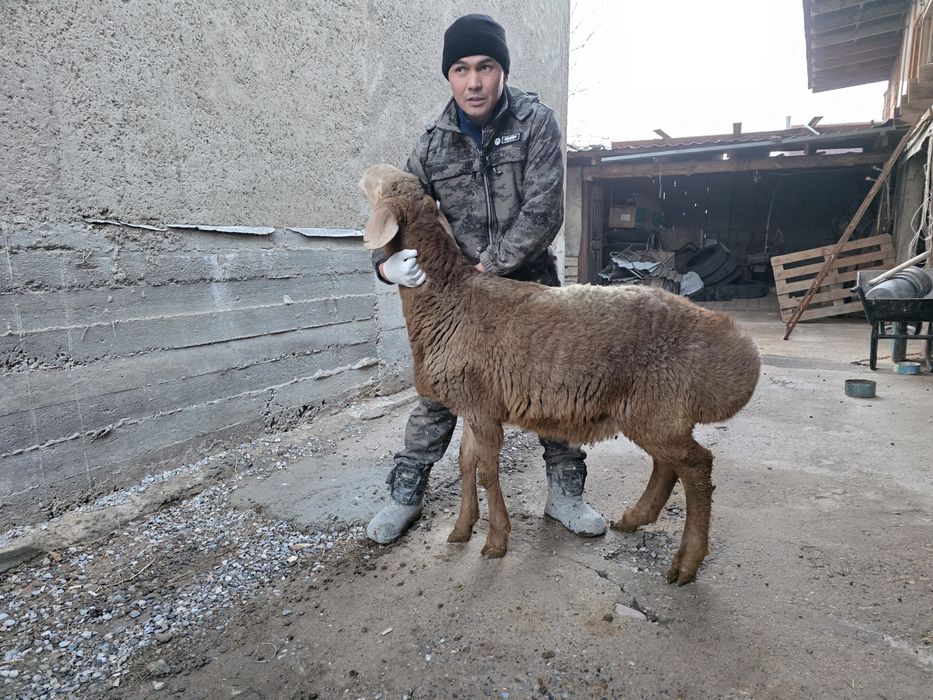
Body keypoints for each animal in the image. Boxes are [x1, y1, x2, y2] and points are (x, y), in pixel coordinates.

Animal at [359, 163, 761, 584]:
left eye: (383, 185)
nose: (368, 171)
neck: (448, 298)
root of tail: (725, 335)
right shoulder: (474, 404)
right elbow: (467, 464)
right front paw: (462, 529)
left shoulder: (482, 408)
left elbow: (487, 472)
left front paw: (496, 541)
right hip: (655, 412)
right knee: (668, 465)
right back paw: (635, 519)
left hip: (656, 408)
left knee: (697, 468)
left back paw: (686, 562)